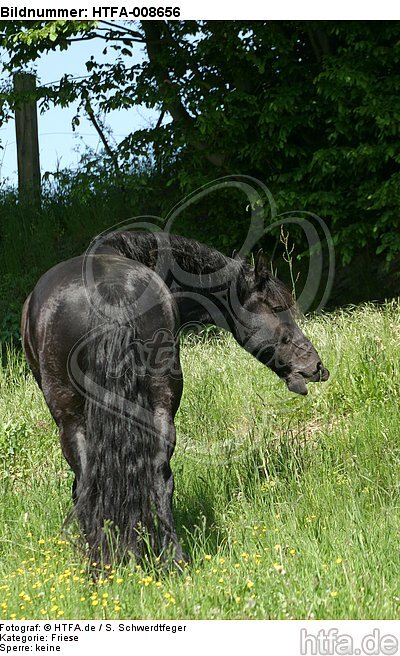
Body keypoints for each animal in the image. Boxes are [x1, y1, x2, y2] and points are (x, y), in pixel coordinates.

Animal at [21, 231, 329, 566]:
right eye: (275, 307)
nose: (316, 366)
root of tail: (111, 293)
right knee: (157, 476)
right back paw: (170, 558)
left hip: (74, 420)